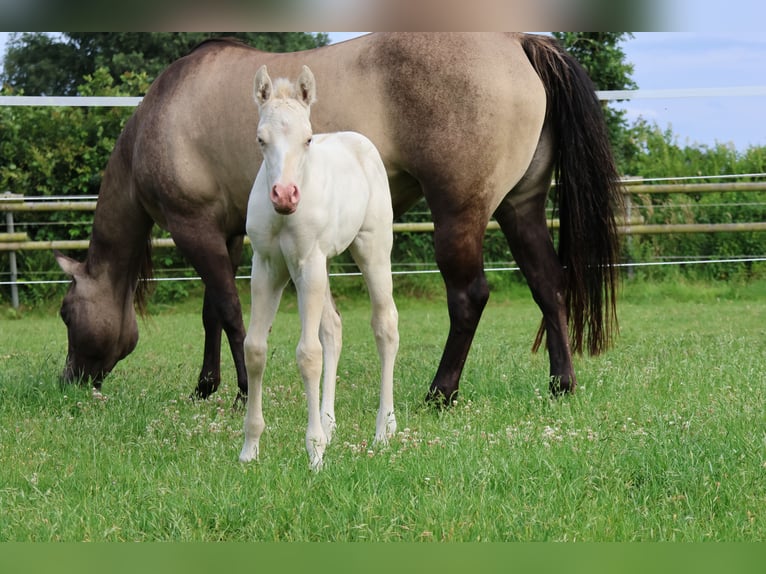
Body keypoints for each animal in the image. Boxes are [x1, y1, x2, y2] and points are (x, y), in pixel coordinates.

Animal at [55, 33, 621, 407]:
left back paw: (440, 392)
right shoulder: (227, 233)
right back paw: (561, 383)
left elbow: (231, 312)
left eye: (65, 313)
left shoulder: (192, 228)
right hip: (519, 208)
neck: (160, 117)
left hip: (458, 216)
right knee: (547, 285)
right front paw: (205, 386)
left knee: (469, 297)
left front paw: (242, 391)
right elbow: (212, 313)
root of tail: (518, 41)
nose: (69, 380)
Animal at [238, 65, 398, 469]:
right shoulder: (267, 268)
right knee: (333, 329)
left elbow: (308, 355)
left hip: (372, 249)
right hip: (320, 267)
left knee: (385, 325)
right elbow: (255, 349)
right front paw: (249, 449)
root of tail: (360, 142)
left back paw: (383, 430)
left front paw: (315, 453)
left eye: (308, 139)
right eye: (260, 139)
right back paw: (329, 422)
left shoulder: (307, 264)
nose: (284, 195)